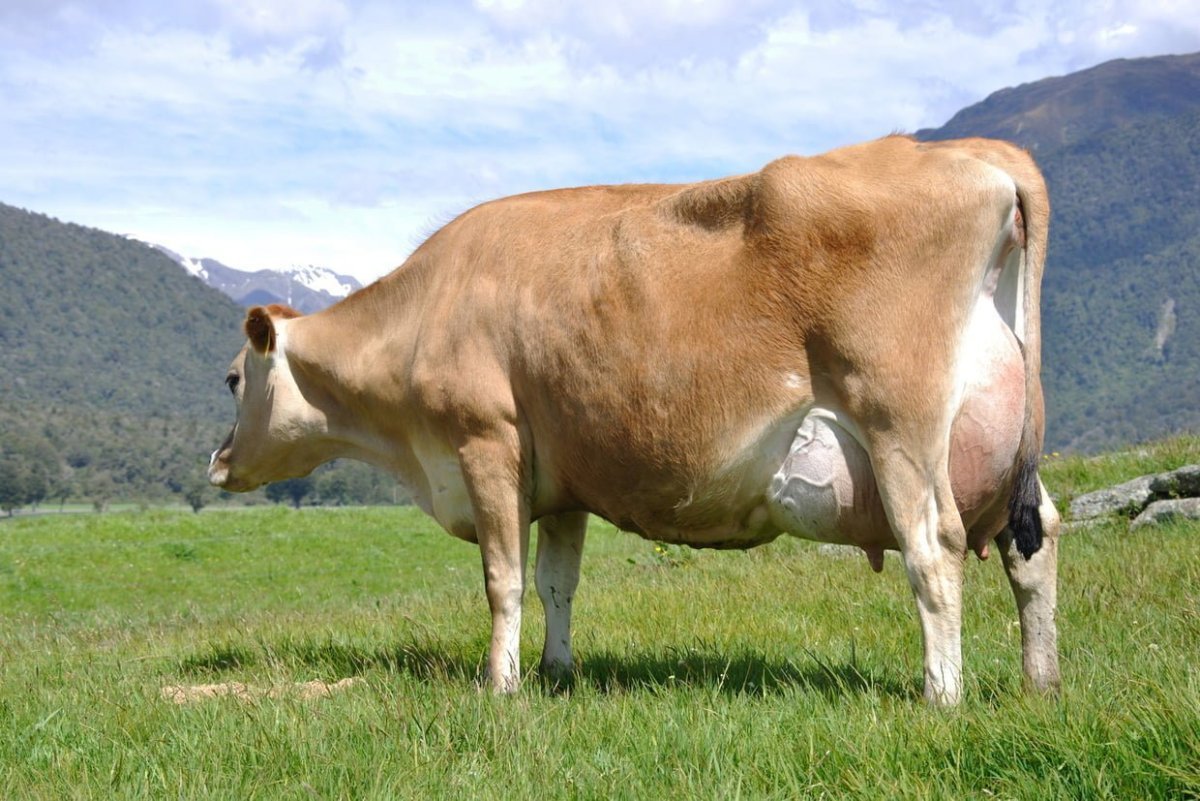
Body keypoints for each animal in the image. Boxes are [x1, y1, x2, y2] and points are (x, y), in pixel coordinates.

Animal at [209, 135, 1060, 705]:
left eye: (231, 378)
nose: (216, 462)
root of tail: (969, 151)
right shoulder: (561, 481)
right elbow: (556, 581)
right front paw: (555, 672)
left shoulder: (485, 442)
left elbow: (502, 579)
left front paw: (499, 686)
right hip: (1000, 446)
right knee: (1035, 536)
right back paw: (1040, 682)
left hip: (899, 423)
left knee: (934, 546)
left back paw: (940, 696)